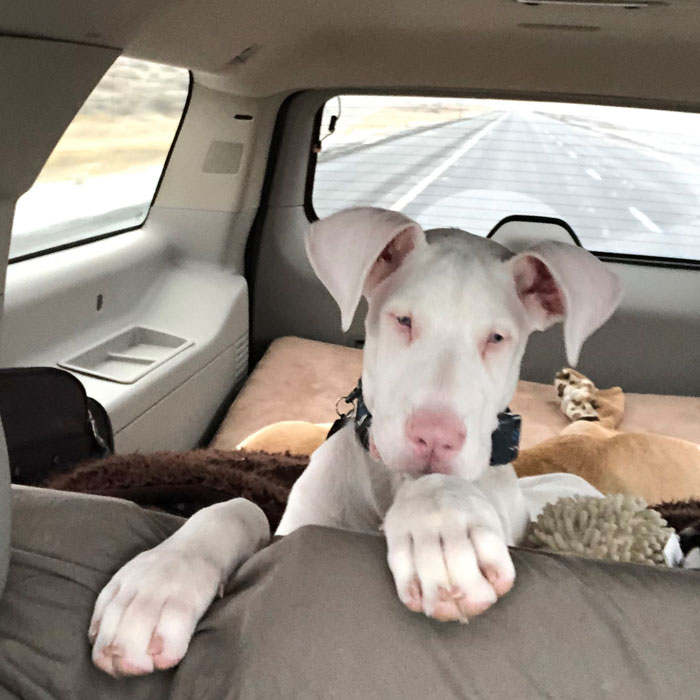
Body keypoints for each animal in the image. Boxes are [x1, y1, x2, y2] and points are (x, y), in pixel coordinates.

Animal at [90, 208, 620, 680]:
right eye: (402, 320)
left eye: (497, 338)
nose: (435, 437)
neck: (385, 486)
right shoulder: (296, 529)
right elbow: (239, 507)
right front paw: (157, 584)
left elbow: (439, 489)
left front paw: (443, 529)